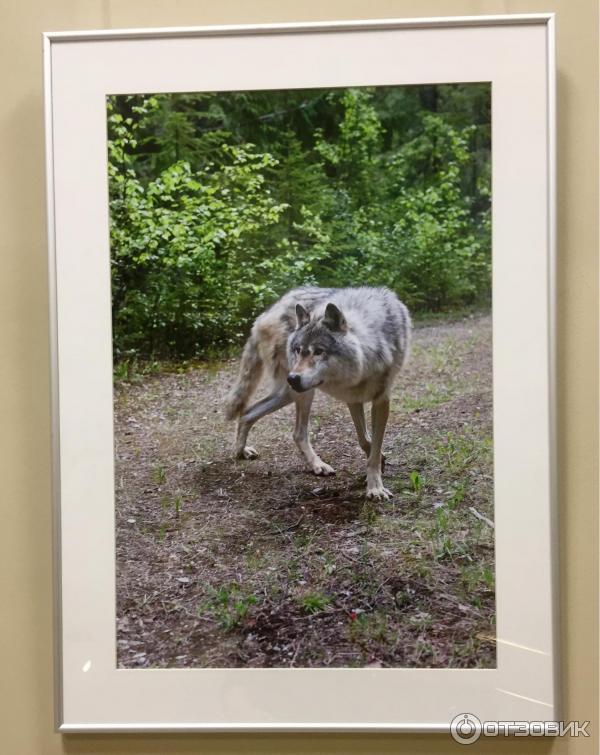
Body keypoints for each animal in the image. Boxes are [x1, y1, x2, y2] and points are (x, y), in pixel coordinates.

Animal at [223, 286, 410, 500]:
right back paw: (318, 465)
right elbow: (366, 441)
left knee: (247, 413)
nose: (293, 378)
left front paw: (375, 475)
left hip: (288, 393)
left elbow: (368, 442)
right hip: (301, 392)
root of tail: (264, 316)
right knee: (297, 432)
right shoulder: (353, 398)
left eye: (319, 351)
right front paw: (375, 485)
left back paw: (241, 451)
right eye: (298, 349)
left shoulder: (373, 399)